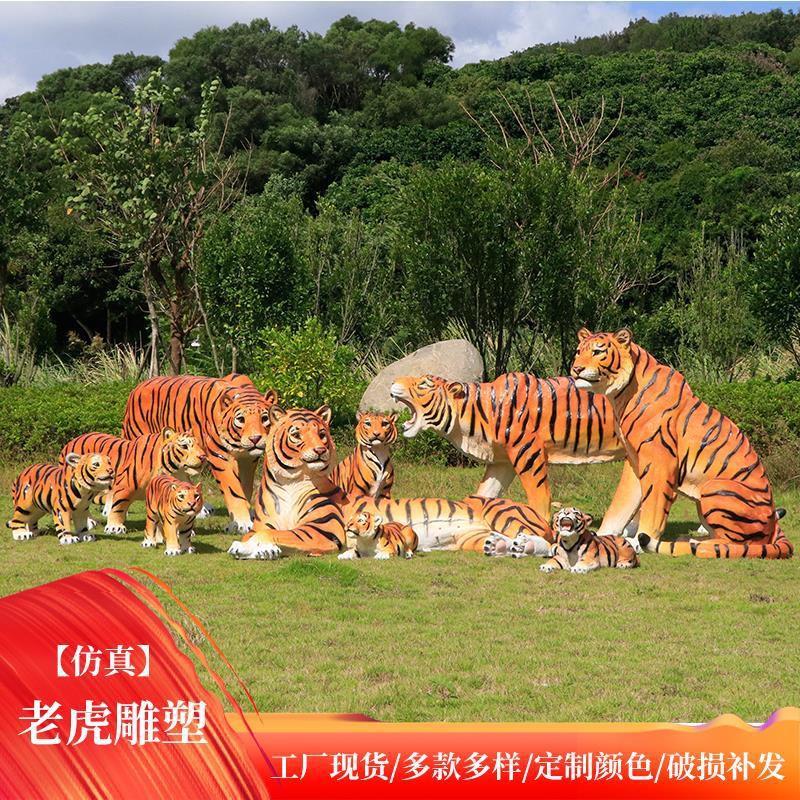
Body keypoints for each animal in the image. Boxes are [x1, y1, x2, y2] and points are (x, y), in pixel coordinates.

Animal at [59, 429, 206, 535]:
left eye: (198, 444)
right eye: (185, 446)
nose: (203, 456)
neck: (174, 472)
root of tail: (69, 443)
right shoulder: (124, 488)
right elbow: (118, 507)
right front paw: (115, 527)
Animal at [122, 374, 276, 533]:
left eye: (264, 418)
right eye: (241, 419)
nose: (255, 439)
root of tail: (138, 386)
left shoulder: (248, 460)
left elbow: (245, 488)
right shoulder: (220, 457)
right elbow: (233, 490)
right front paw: (243, 523)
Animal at [228, 405, 348, 559]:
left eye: (321, 434)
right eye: (296, 435)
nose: (320, 450)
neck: (289, 482)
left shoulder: (320, 529)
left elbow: (270, 534)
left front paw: (252, 548)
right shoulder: (261, 525)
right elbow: (253, 535)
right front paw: (263, 550)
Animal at [389, 374, 642, 537]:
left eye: (424, 383)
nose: (393, 383)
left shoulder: (528, 454)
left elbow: (539, 498)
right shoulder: (501, 463)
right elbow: (485, 492)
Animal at [571, 328, 793, 559]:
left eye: (597, 352)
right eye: (578, 351)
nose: (576, 368)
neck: (620, 395)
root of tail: (774, 524)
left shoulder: (659, 462)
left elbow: (653, 507)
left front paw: (638, 542)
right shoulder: (634, 460)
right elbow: (621, 503)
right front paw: (601, 537)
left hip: (715, 488)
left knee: (737, 544)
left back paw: (693, 542)